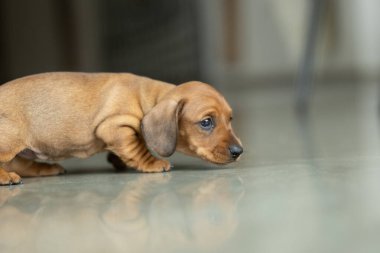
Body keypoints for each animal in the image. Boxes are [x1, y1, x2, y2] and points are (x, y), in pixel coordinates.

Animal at [0, 72, 243, 185]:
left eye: (230, 119)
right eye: (206, 122)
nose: (239, 152)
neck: (146, 97)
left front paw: (118, 161)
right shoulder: (115, 126)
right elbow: (138, 149)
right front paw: (153, 164)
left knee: (21, 163)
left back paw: (46, 169)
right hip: (9, 140)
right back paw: (7, 177)